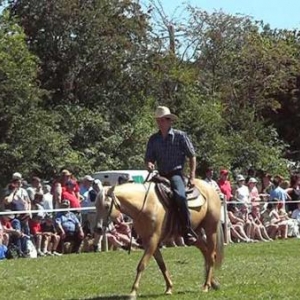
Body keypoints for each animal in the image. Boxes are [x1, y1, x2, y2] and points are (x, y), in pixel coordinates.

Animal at [95, 178, 224, 298]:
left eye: (106, 206)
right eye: (96, 206)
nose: (98, 228)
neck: (145, 205)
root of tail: (211, 188)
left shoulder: (153, 240)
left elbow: (141, 265)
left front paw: (133, 292)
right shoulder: (148, 242)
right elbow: (162, 265)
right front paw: (169, 288)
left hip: (211, 229)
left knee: (211, 255)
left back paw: (206, 285)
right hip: (194, 234)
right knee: (206, 252)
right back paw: (213, 283)